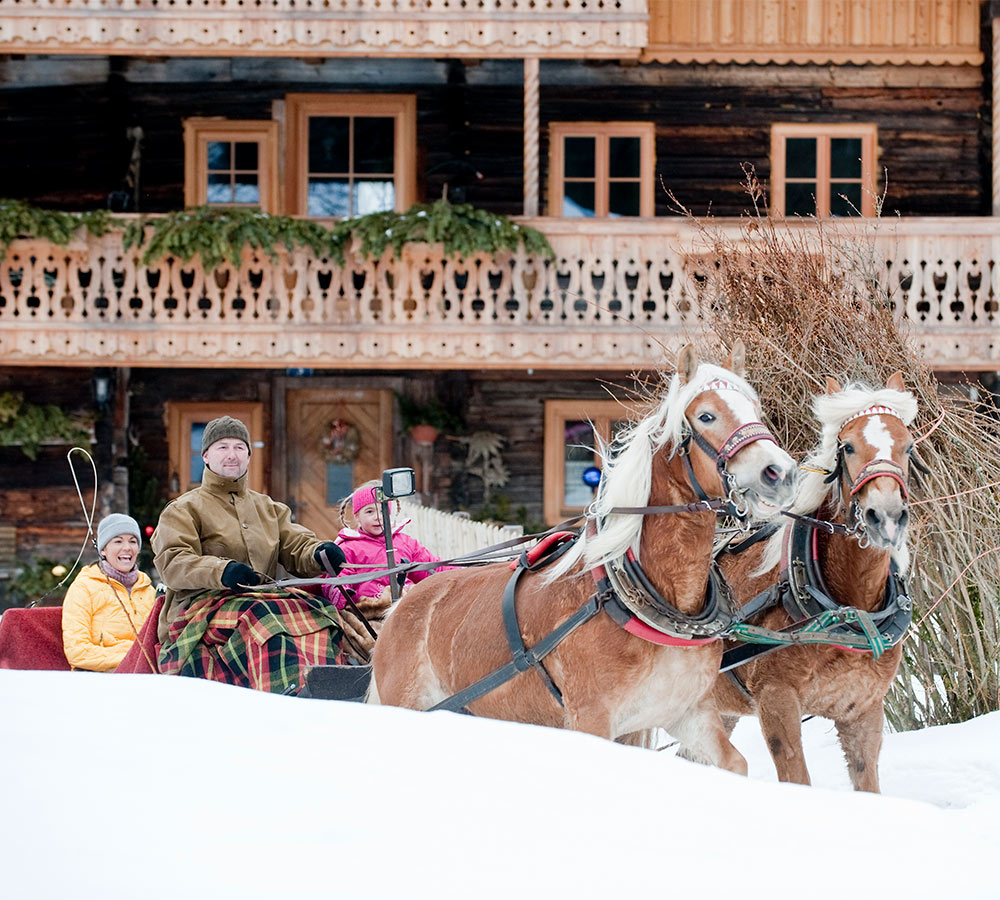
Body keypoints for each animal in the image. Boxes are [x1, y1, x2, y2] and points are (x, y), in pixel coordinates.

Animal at [368, 342, 796, 768]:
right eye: (707, 415)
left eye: (755, 409)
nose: (780, 472)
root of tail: (402, 605)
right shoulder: (591, 718)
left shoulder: (688, 712)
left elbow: (734, 763)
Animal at [708, 370, 916, 792]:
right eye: (848, 447)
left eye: (907, 445)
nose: (886, 516)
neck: (850, 610)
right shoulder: (776, 701)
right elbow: (797, 780)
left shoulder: (863, 710)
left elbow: (869, 784)